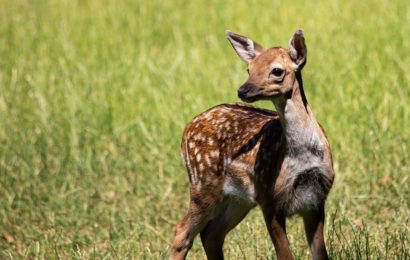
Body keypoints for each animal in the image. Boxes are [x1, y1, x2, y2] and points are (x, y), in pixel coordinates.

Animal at [170, 29, 334, 258]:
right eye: (249, 68)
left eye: (277, 70)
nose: (243, 90)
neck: (303, 157)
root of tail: (187, 127)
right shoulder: (269, 197)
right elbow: (285, 255)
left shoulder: (316, 200)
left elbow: (320, 254)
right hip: (203, 184)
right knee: (182, 232)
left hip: (239, 199)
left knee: (211, 234)